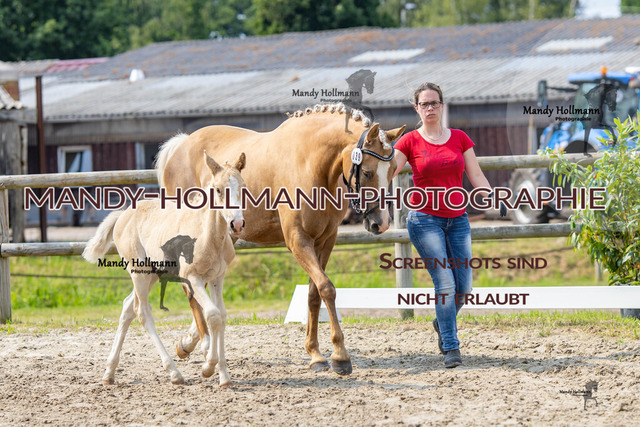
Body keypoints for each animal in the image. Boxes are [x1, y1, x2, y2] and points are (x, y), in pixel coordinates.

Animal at [83, 151, 246, 387]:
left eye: (242, 187)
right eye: (217, 189)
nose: (237, 224)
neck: (208, 235)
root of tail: (123, 214)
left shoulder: (217, 277)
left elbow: (222, 317)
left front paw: (224, 375)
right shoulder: (192, 278)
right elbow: (213, 315)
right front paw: (208, 367)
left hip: (152, 273)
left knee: (127, 307)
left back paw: (109, 373)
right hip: (139, 272)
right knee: (142, 312)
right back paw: (174, 373)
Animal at [157, 103, 405, 375]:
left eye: (393, 170)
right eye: (368, 172)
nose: (381, 223)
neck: (312, 164)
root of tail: (181, 145)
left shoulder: (326, 240)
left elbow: (314, 294)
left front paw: (316, 354)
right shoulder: (298, 240)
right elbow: (327, 288)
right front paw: (340, 356)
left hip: (226, 235)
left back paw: (188, 343)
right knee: (189, 285)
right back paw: (204, 345)